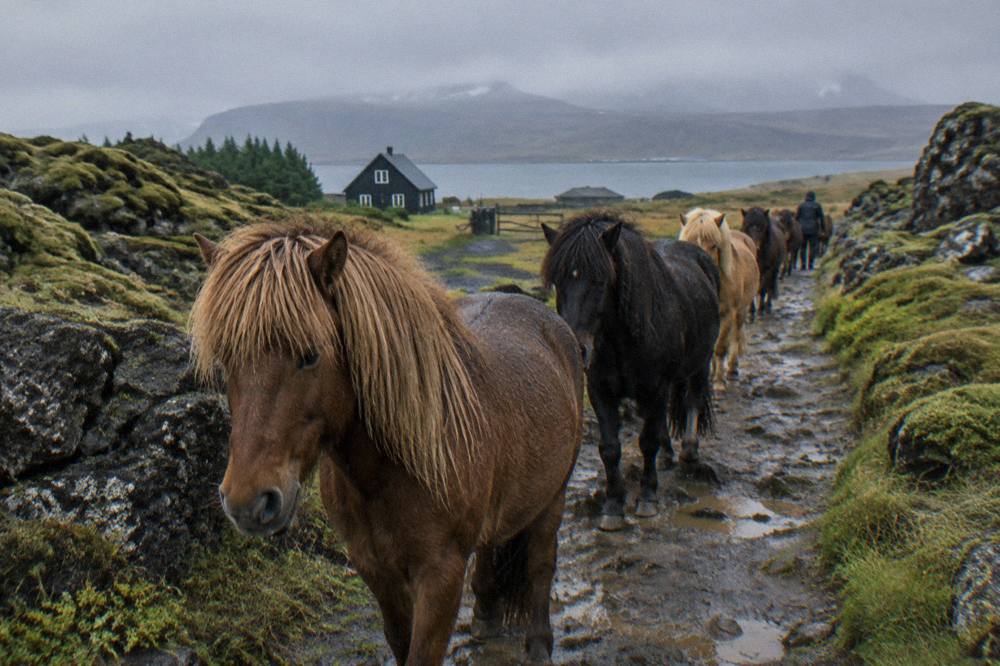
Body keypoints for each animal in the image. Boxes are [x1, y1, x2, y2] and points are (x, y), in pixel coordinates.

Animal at [189, 222, 584, 664]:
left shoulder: (440, 575)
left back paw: (539, 644)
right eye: (225, 361)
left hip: (553, 498)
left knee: (540, 566)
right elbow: (398, 640)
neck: (396, 467)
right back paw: (484, 616)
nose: (248, 502)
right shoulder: (374, 568)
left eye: (310, 355)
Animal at [541, 211, 719, 532]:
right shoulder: (600, 391)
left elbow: (646, 442)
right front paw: (613, 506)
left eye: (600, 280)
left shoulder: (656, 388)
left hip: (700, 363)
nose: (574, 347)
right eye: (557, 281)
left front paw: (647, 499)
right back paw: (668, 455)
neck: (621, 338)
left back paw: (689, 449)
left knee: (692, 400)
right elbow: (610, 448)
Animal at [679, 208, 760, 390]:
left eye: (714, 245)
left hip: (741, 311)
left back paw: (732, 370)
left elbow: (721, 347)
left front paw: (718, 382)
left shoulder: (728, 314)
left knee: (736, 336)